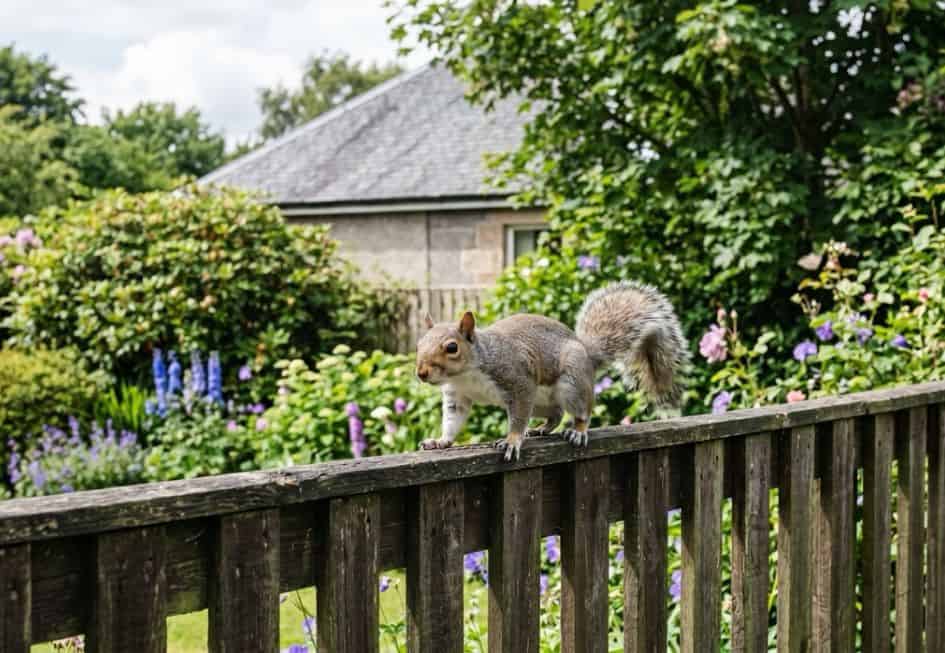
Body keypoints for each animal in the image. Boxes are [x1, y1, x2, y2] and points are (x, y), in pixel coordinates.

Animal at [415, 281, 689, 460]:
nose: (421, 373)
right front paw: (440, 441)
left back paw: (577, 431)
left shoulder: (518, 381)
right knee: (555, 414)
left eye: (452, 347)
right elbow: (453, 419)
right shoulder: (457, 395)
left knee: (581, 411)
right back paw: (540, 429)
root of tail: (587, 354)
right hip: (542, 402)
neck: (466, 374)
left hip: (572, 383)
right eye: (419, 344)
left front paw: (512, 440)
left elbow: (518, 417)